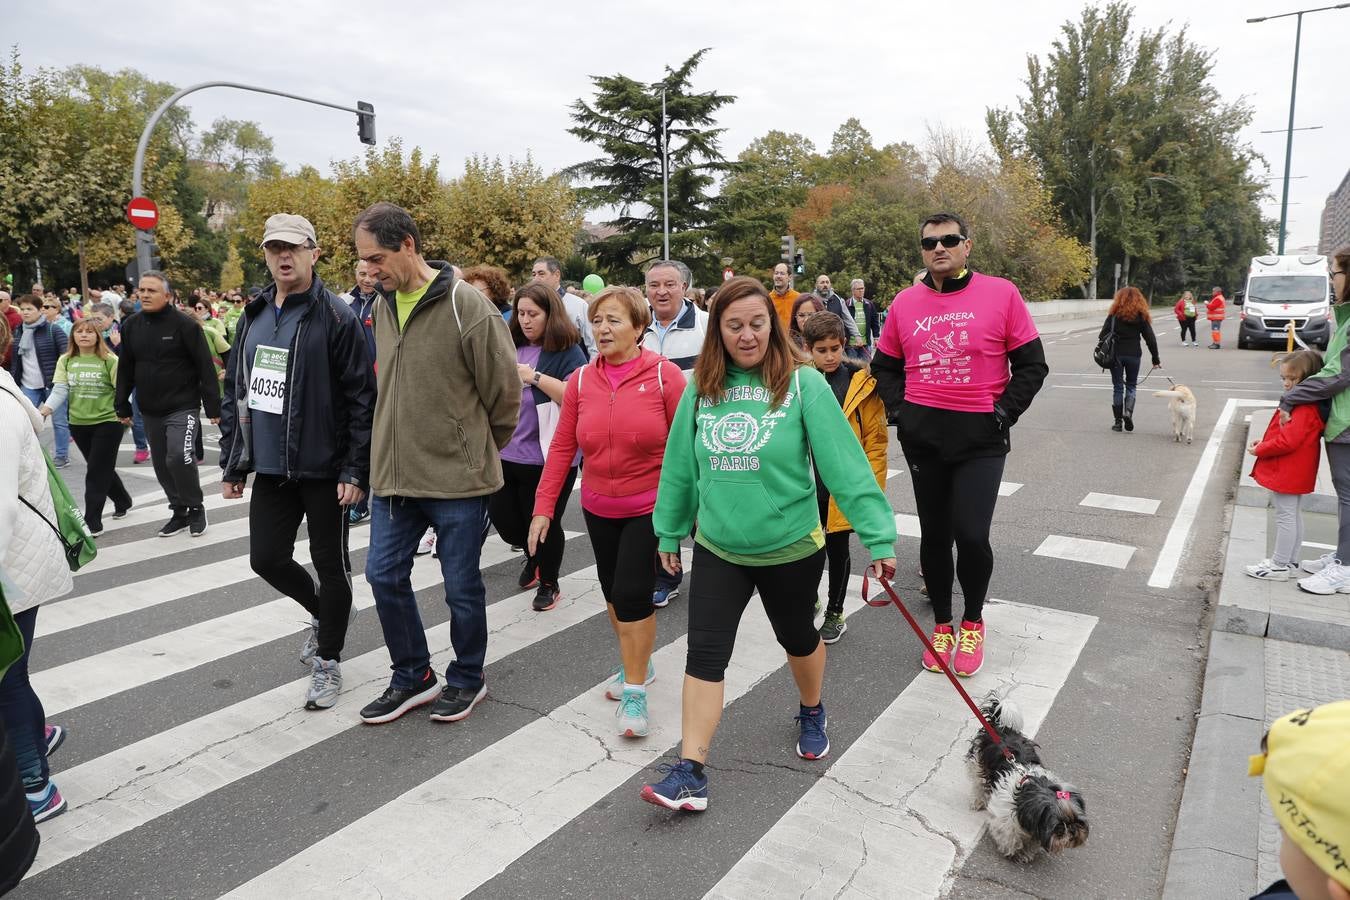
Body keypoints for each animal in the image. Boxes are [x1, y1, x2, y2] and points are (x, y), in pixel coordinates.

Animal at [966, 696, 1090, 858]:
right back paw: (978, 800)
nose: (1072, 830)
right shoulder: (1005, 817)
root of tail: (1001, 726)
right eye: (1058, 825)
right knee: (977, 783)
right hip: (977, 762)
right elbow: (1010, 835)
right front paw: (1012, 850)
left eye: (1076, 821)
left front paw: (1026, 853)